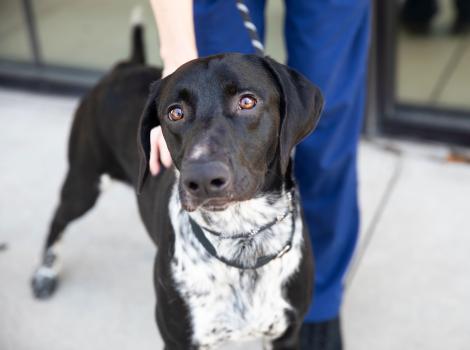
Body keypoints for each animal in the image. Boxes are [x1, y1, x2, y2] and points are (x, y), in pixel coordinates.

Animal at [31, 23, 322, 348]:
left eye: (247, 101)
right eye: (175, 112)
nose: (202, 179)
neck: (242, 241)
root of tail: (124, 66)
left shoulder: (285, 335)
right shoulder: (177, 338)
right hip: (84, 182)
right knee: (58, 219)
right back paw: (45, 273)